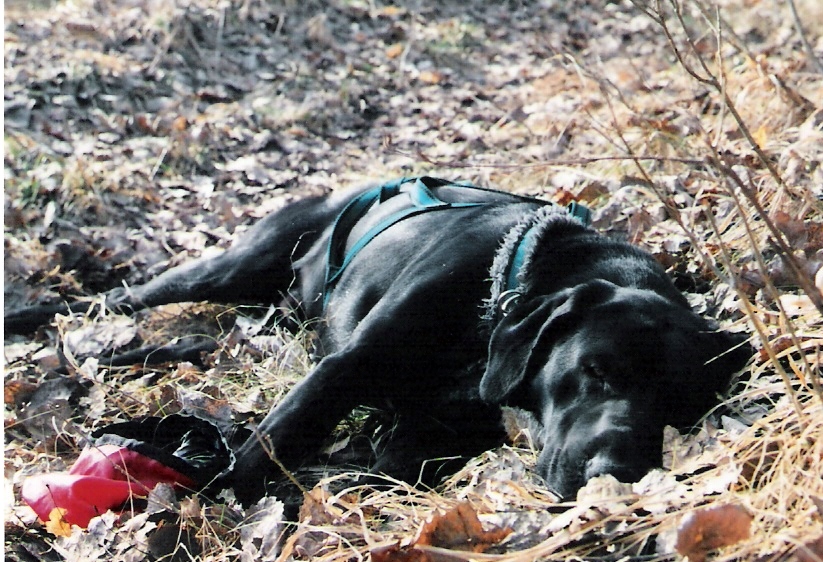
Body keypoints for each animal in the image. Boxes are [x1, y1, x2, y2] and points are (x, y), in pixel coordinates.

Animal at [6, 175, 748, 498]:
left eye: (679, 406)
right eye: (595, 370)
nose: (613, 472)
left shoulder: (420, 441)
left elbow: (368, 469)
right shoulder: (347, 367)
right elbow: (263, 450)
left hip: (269, 326)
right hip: (229, 267)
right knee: (124, 296)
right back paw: (40, 317)